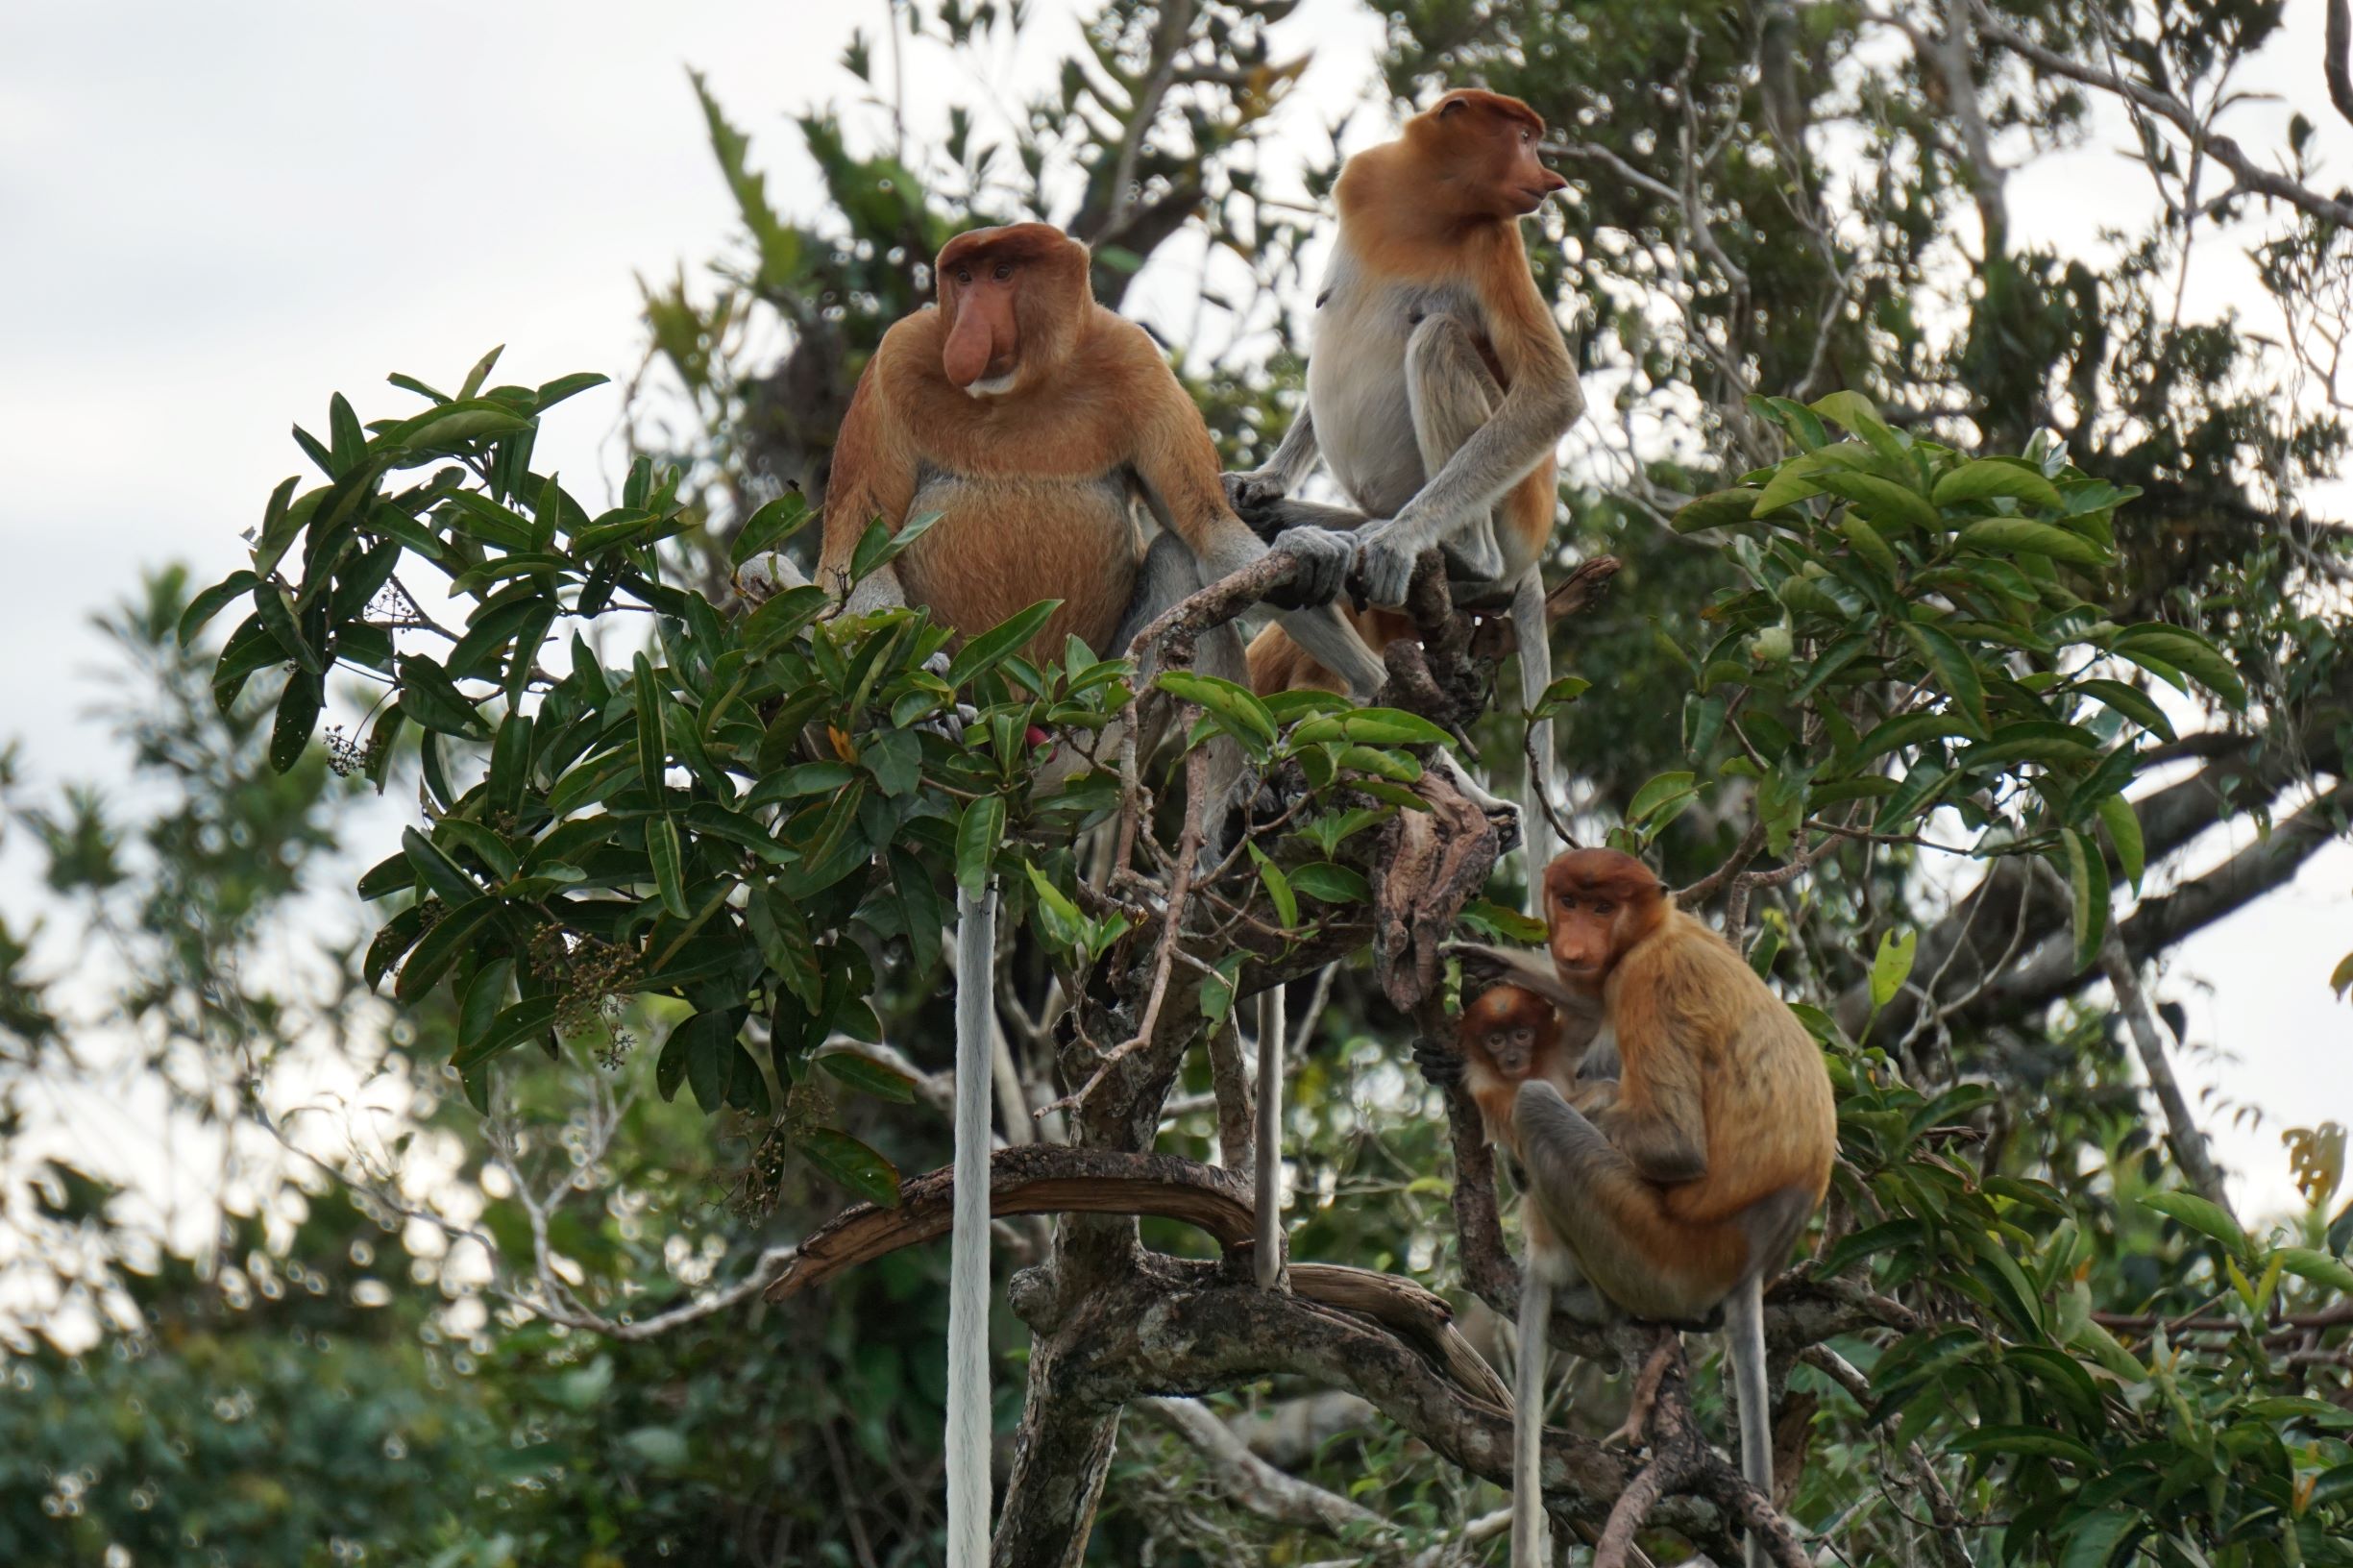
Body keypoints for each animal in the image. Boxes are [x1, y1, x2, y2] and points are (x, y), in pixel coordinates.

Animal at [1223, 91, 1590, 899]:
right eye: (1523, 137)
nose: (1549, 178)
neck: (1429, 204)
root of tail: (1533, 552)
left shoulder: (1496, 242)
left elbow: (1552, 395)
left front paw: (1396, 545)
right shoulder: (1365, 180)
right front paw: (1262, 478)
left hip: (1508, 508)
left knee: (1439, 336)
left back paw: (1453, 557)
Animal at [1468, 847, 1835, 1554]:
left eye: (1603, 907)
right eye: (1571, 902)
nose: (1573, 944)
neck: (1653, 933)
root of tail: (1750, 1264)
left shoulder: (1647, 981)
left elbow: (1673, 1144)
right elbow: (1587, 1007)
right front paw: (1489, 958)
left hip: (1657, 1253)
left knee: (1545, 1105)